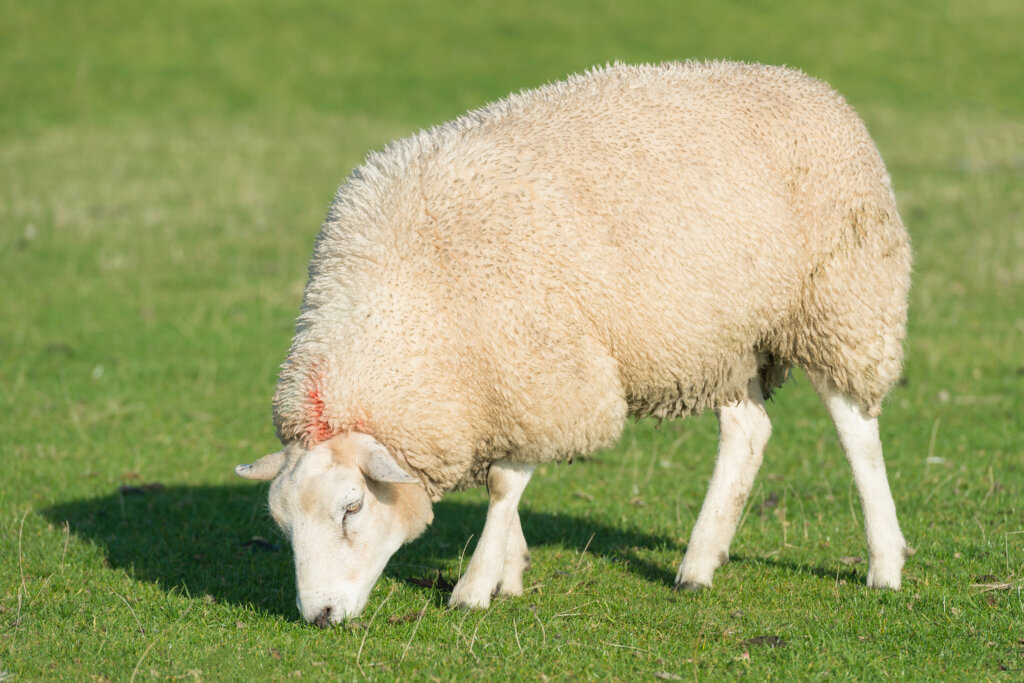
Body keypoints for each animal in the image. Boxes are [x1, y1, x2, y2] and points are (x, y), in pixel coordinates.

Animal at [237, 61, 913, 626]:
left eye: (351, 509)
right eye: (282, 523)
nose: (319, 615)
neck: (403, 307)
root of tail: (810, 85)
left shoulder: (542, 372)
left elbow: (505, 484)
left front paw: (475, 587)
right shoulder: (494, 390)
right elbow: (503, 481)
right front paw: (510, 571)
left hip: (842, 300)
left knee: (856, 431)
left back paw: (884, 565)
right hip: (724, 337)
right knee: (748, 432)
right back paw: (698, 564)